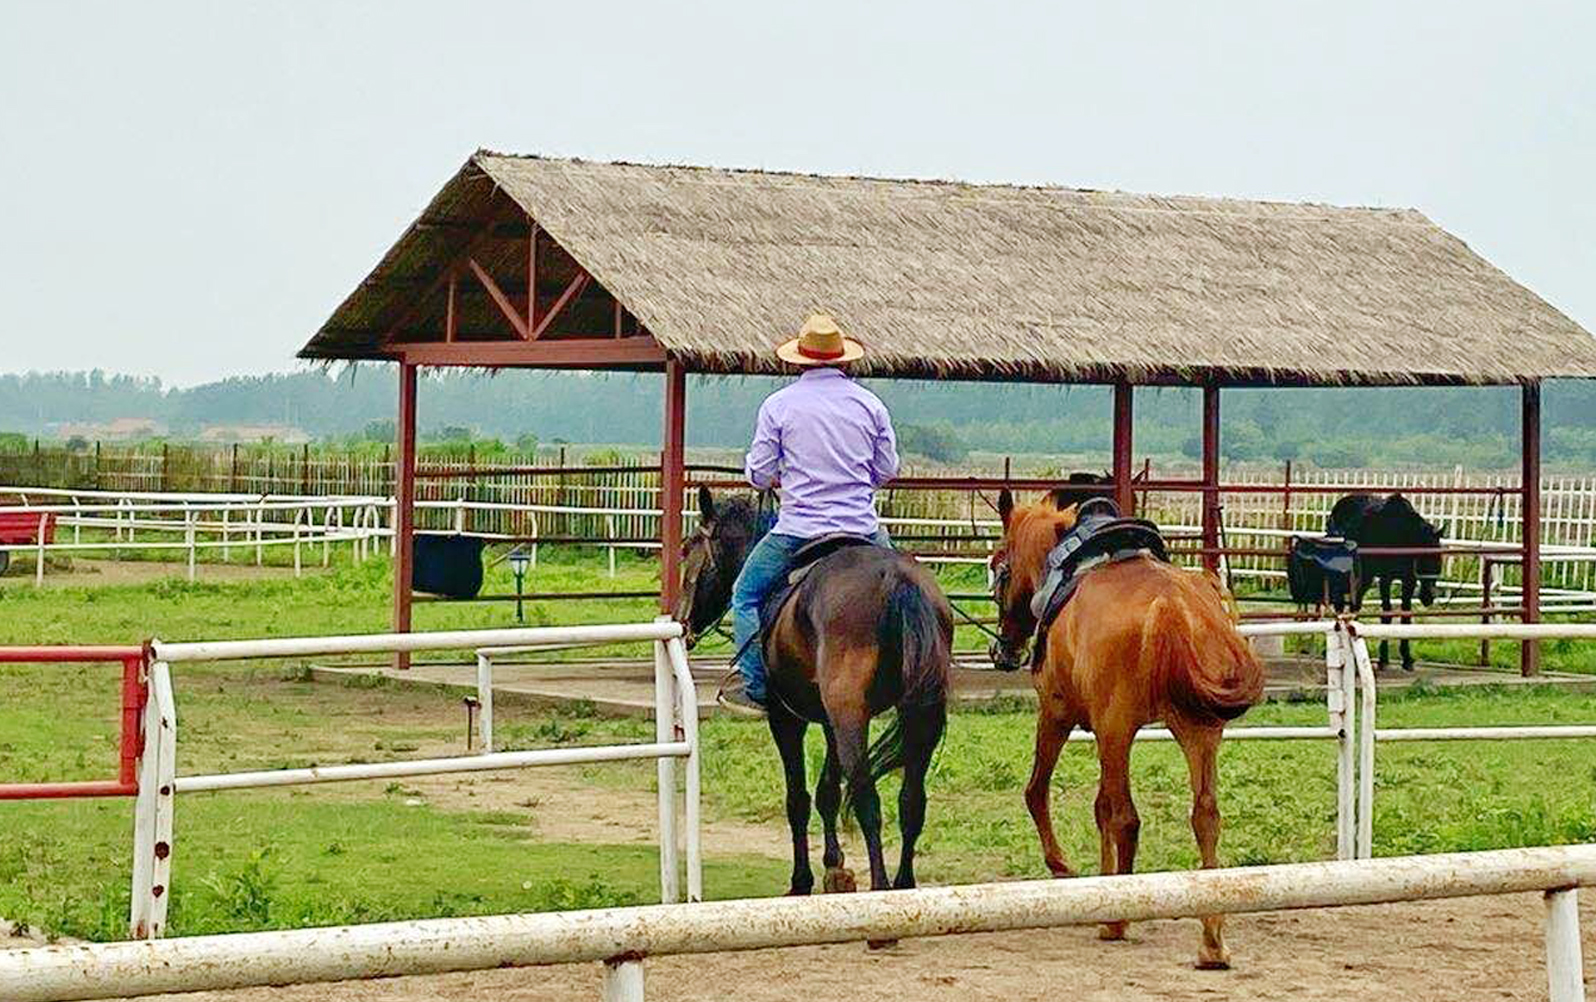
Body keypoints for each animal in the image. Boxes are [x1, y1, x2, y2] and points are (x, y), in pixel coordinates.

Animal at [676, 487, 952, 897]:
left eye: (689, 550)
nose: (682, 622)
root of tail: (895, 580)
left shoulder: (786, 719)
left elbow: (799, 798)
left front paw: (801, 880)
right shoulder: (828, 721)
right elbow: (827, 793)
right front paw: (835, 867)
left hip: (851, 717)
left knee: (867, 797)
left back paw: (882, 887)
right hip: (916, 714)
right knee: (911, 801)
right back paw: (904, 884)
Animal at [988, 489, 1264, 969]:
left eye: (1000, 567)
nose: (1003, 651)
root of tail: (1176, 608)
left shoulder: (1060, 715)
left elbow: (1041, 791)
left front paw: (1066, 868)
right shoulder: (1105, 730)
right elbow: (1100, 807)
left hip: (1118, 730)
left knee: (1127, 818)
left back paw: (1119, 920)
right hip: (1198, 731)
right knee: (1205, 816)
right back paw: (1211, 940)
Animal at [1327, 493, 1444, 671]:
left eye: (1439, 560)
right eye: (1425, 559)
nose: (1428, 598)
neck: (1402, 538)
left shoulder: (1408, 580)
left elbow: (1406, 616)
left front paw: (1407, 659)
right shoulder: (1385, 579)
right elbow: (1386, 615)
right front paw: (1383, 659)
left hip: (1365, 577)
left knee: (1355, 603)